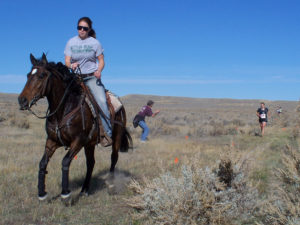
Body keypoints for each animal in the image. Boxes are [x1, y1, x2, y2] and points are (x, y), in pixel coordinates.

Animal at [17, 53, 132, 200]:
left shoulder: (78, 141)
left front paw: (65, 193)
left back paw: (111, 184)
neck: (62, 111)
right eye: (28, 75)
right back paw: (84, 190)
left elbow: (65, 162)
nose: (22, 100)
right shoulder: (52, 141)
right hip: (90, 144)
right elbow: (42, 163)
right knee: (91, 163)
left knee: (114, 158)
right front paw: (42, 193)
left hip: (116, 137)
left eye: (42, 75)